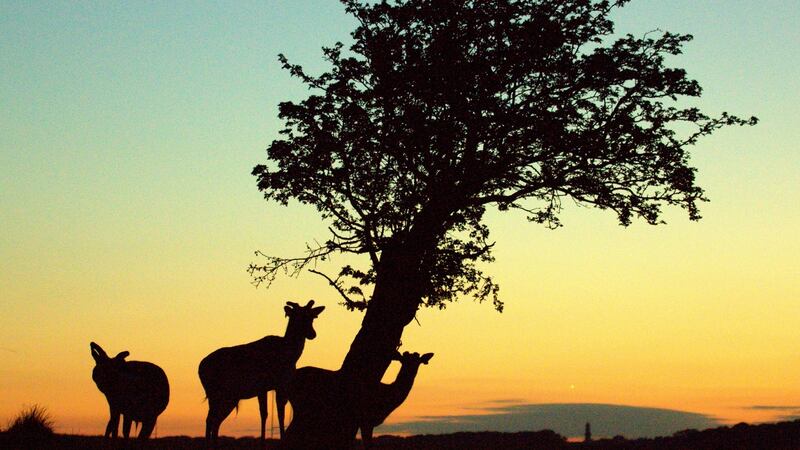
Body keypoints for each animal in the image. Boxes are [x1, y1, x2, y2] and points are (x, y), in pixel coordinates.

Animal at [198, 300, 325, 445]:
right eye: (296, 316)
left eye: (312, 317)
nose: (312, 334)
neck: (288, 356)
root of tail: (200, 368)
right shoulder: (265, 386)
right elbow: (268, 414)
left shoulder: (279, 385)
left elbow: (276, 413)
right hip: (216, 394)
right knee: (210, 419)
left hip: (227, 397)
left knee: (215, 420)